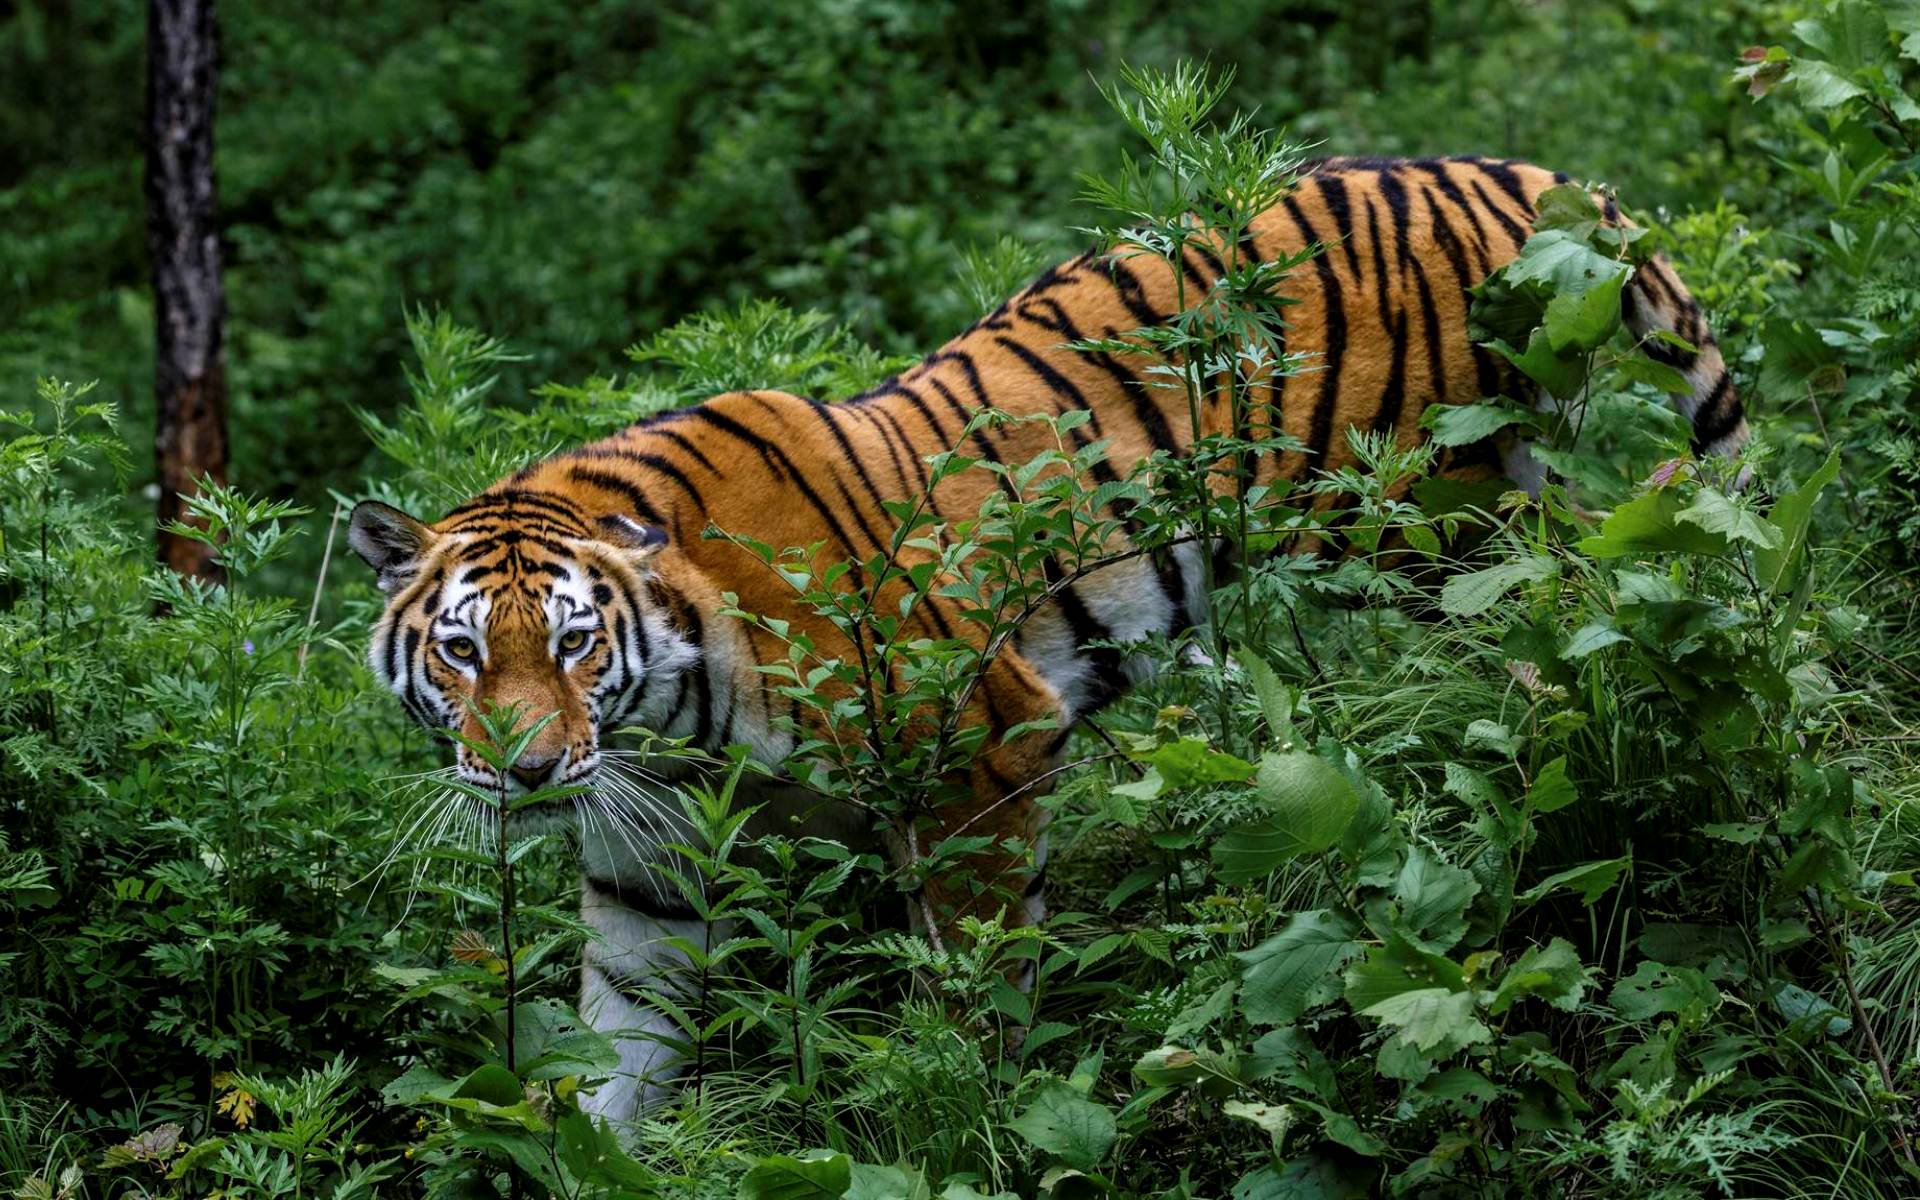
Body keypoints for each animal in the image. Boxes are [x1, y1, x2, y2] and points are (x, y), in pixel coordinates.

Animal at [349, 154, 1758, 1121]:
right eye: (464, 653)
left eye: (574, 645)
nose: (527, 772)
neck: (667, 726)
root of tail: (1516, 174)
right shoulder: (649, 867)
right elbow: (622, 1056)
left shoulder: (975, 748)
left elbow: (974, 985)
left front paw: (960, 1110)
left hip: (1436, 519)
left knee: (1523, 648)